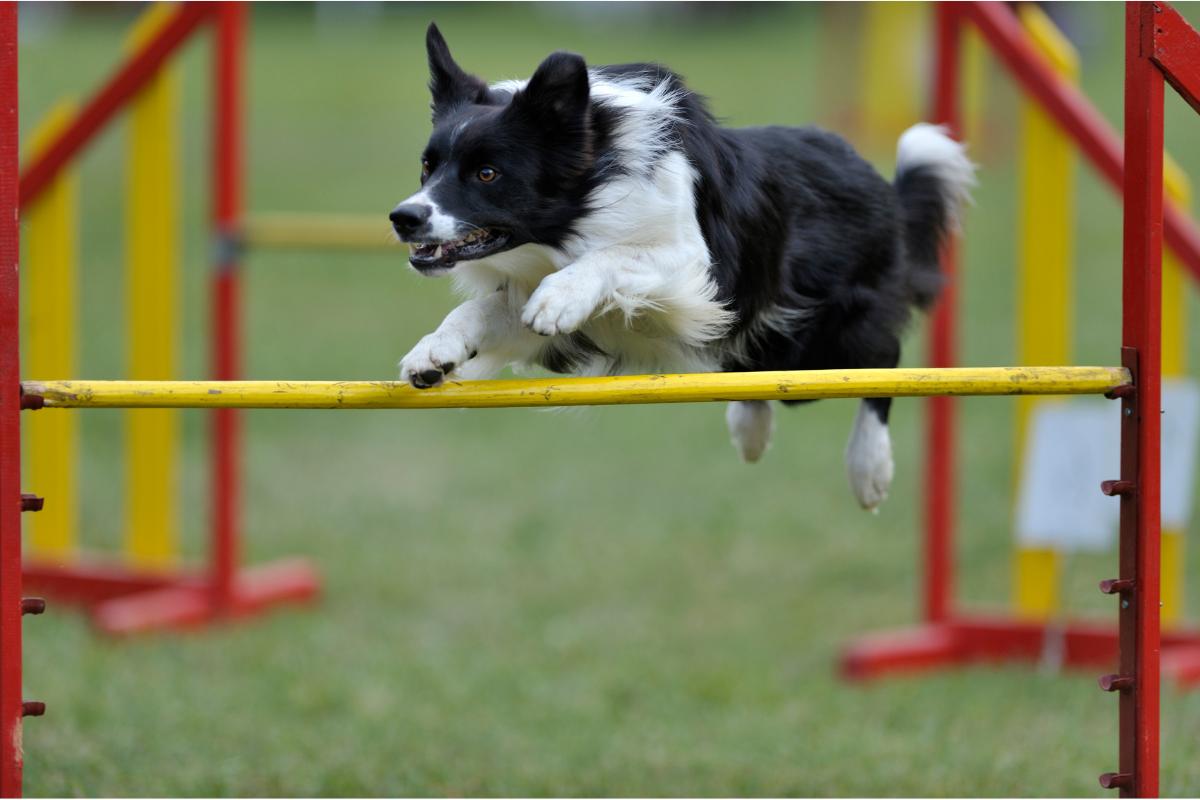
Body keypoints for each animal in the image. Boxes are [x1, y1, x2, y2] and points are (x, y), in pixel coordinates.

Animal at [393, 28, 974, 513]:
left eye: (487, 173)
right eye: (427, 165)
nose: (403, 218)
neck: (591, 188)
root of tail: (882, 185)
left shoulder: (696, 269)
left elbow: (610, 258)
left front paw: (561, 296)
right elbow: (485, 309)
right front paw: (435, 352)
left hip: (831, 334)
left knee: (883, 360)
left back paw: (868, 468)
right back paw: (750, 426)